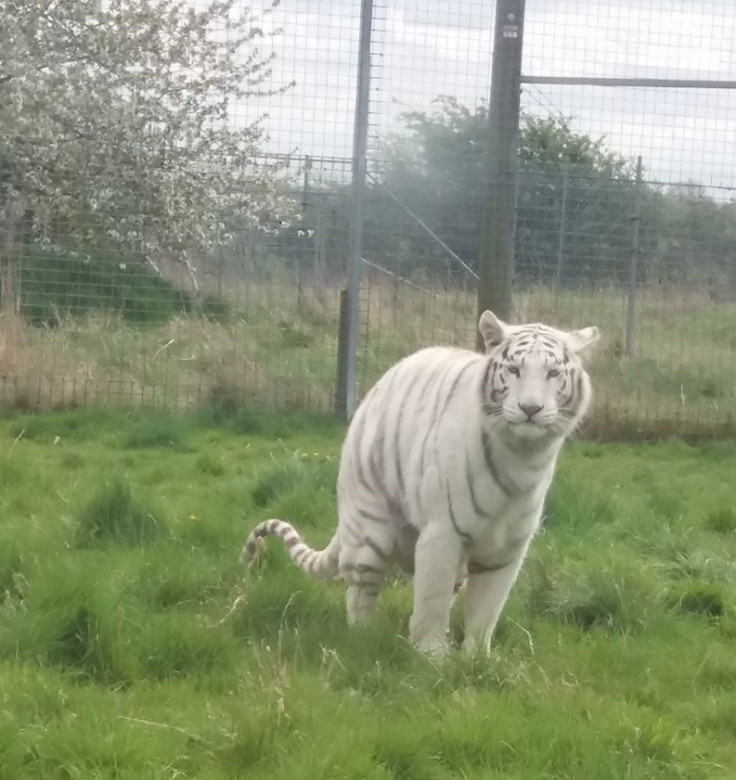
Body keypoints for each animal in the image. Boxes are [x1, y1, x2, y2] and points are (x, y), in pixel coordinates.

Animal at [242, 308, 600, 656]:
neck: (523, 455)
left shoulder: (507, 548)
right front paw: (432, 657)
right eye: (513, 370)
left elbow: (486, 609)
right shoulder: (443, 532)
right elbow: (432, 600)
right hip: (368, 529)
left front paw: (476, 658)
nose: (530, 408)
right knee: (360, 591)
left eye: (553, 373)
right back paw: (364, 638)